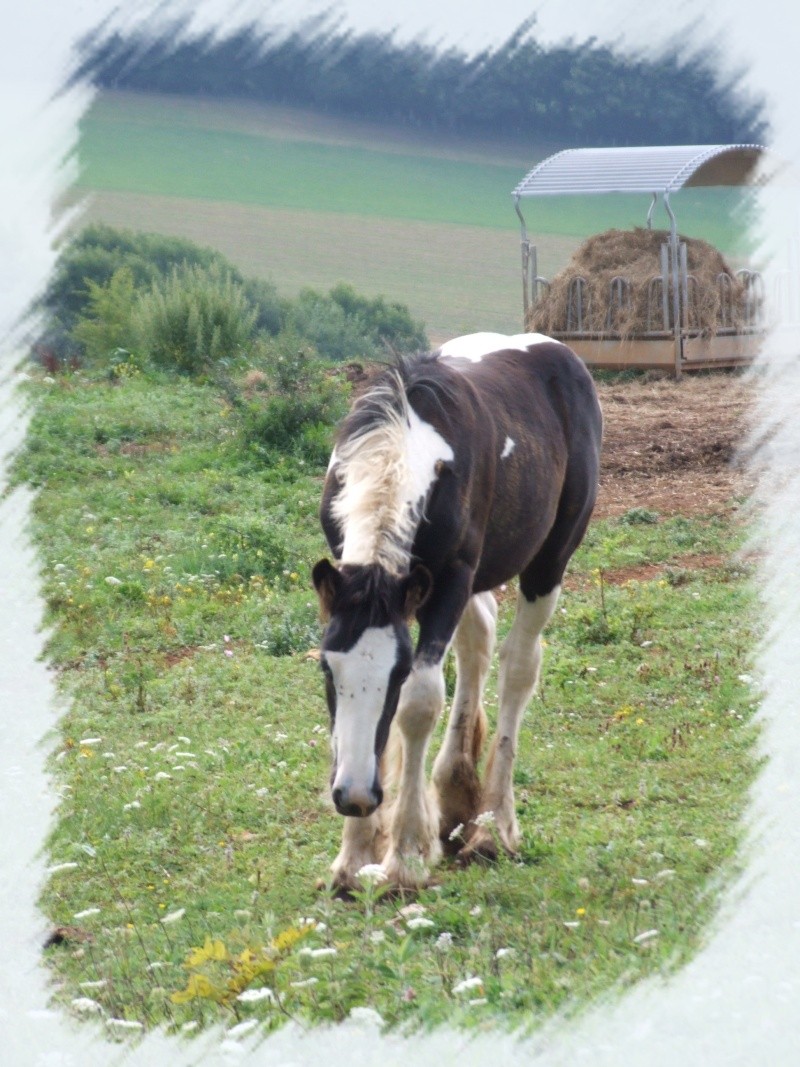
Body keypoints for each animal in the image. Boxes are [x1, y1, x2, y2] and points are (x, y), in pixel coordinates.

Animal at [311, 330, 601, 892]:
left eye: (397, 674)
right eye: (327, 671)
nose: (352, 796)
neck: (405, 445)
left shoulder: (450, 581)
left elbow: (420, 703)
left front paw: (405, 856)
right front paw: (354, 857)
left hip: (548, 562)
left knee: (518, 667)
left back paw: (493, 827)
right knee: (478, 645)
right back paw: (455, 795)